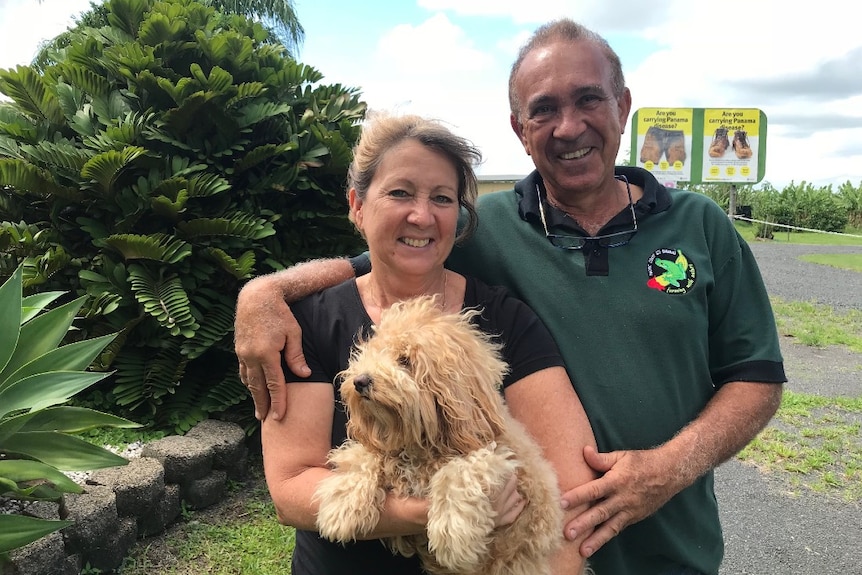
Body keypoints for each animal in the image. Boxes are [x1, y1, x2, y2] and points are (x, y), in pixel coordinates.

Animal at [318, 296, 568, 575]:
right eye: (371, 353)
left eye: (405, 360)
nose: (360, 381)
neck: (421, 445)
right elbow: (363, 456)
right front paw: (341, 506)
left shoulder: (500, 457)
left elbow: (457, 473)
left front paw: (452, 535)